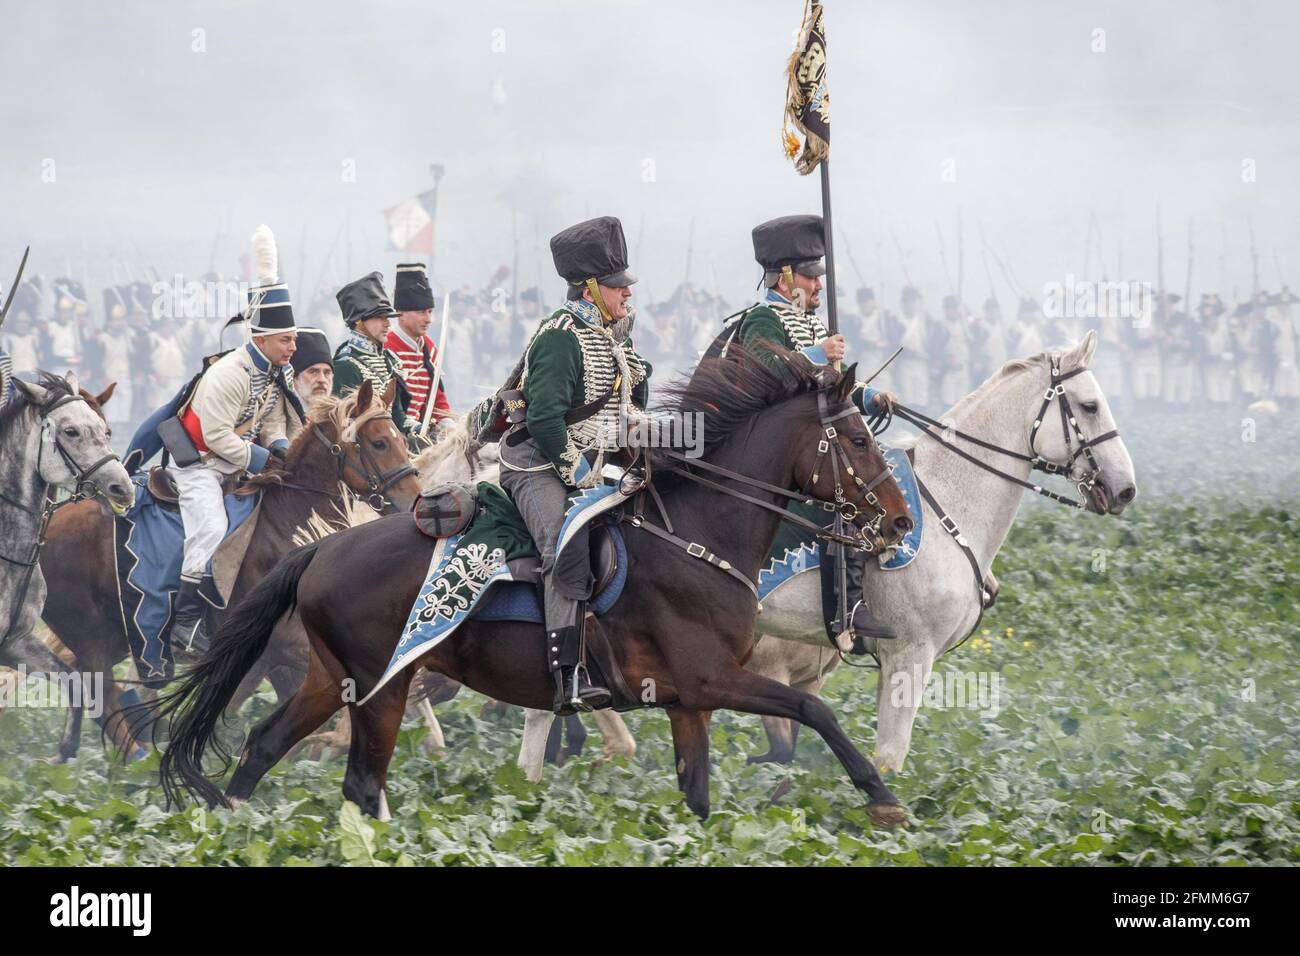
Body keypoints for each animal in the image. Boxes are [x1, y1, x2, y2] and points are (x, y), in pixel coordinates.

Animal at [39, 377, 421, 759]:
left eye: (403, 441)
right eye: (379, 442)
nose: (413, 501)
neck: (286, 523)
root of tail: (48, 523)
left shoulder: (273, 656)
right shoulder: (282, 643)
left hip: (121, 636)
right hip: (93, 638)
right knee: (101, 698)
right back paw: (139, 757)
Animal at [157, 348, 920, 827]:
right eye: (856, 439)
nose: (900, 519)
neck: (697, 539)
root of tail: (322, 549)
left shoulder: (689, 702)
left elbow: (698, 793)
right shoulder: (713, 680)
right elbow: (816, 711)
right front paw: (882, 798)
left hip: (331, 679)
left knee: (263, 745)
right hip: (383, 687)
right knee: (361, 780)